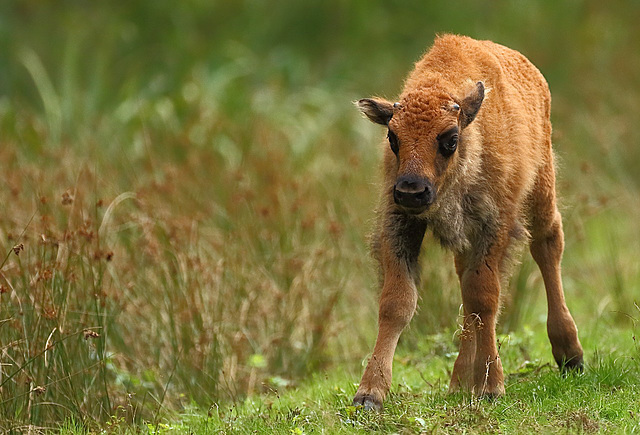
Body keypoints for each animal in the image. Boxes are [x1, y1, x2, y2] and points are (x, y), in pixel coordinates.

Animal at [352, 35, 584, 412]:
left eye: (450, 139)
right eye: (392, 138)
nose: (411, 190)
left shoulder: (496, 223)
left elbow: (484, 296)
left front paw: (491, 387)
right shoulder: (400, 222)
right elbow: (397, 302)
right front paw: (369, 394)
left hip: (541, 187)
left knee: (547, 245)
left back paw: (570, 355)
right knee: (465, 285)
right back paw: (459, 382)